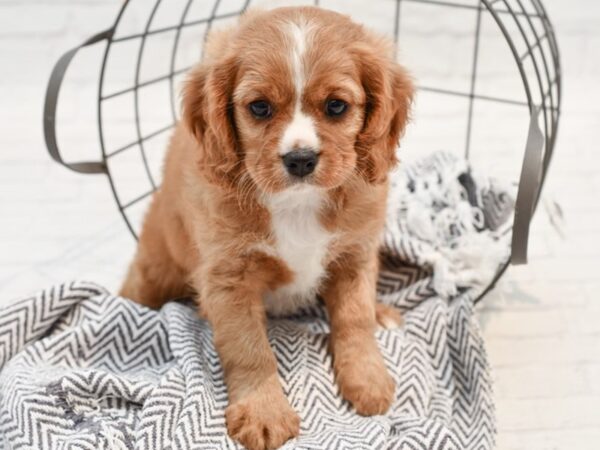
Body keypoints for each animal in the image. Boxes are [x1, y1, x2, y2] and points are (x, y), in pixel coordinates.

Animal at [122, 7, 412, 450]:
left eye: (336, 106)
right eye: (259, 108)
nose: (300, 159)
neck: (297, 202)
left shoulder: (356, 254)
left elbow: (355, 318)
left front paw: (368, 379)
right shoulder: (228, 279)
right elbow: (250, 349)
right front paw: (264, 412)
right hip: (155, 270)